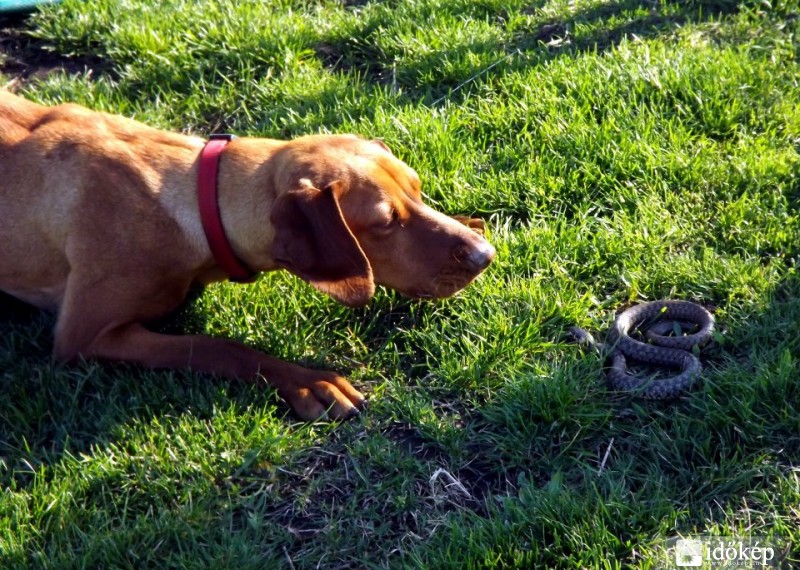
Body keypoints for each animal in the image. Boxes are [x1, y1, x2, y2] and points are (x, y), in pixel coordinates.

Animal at [0, 89, 494, 418]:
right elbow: (214, 346)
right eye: (384, 222)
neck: (194, 201)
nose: (485, 256)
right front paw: (308, 381)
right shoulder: (82, 337)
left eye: (418, 189)